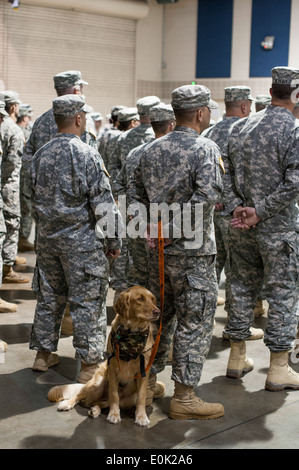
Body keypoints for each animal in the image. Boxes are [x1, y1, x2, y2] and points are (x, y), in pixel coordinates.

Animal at [47, 286, 159, 426]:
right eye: (140, 299)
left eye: (153, 299)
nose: (158, 311)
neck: (131, 333)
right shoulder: (113, 369)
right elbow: (114, 395)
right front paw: (114, 414)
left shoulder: (143, 371)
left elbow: (141, 397)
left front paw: (141, 416)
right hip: (97, 384)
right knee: (81, 397)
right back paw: (68, 404)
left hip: (128, 398)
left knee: (96, 403)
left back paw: (95, 410)